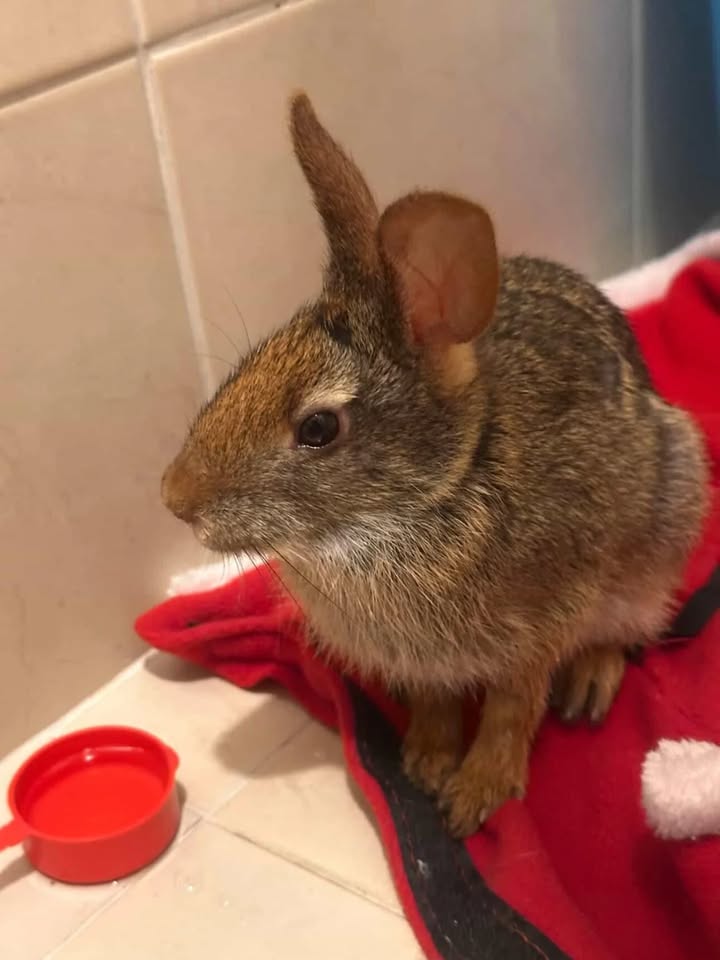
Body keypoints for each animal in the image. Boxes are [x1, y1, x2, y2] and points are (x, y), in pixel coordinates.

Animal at [161, 92, 709, 837]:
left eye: (318, 428)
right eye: (249, 364)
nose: (174, 496)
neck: (433, 495)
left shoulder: (539, 630)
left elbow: (511, 709)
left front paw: (475, 796)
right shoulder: (426, 666)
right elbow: (437, 705)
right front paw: (424, 762)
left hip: (658, 539)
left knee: (624, 630)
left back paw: (590, 685)